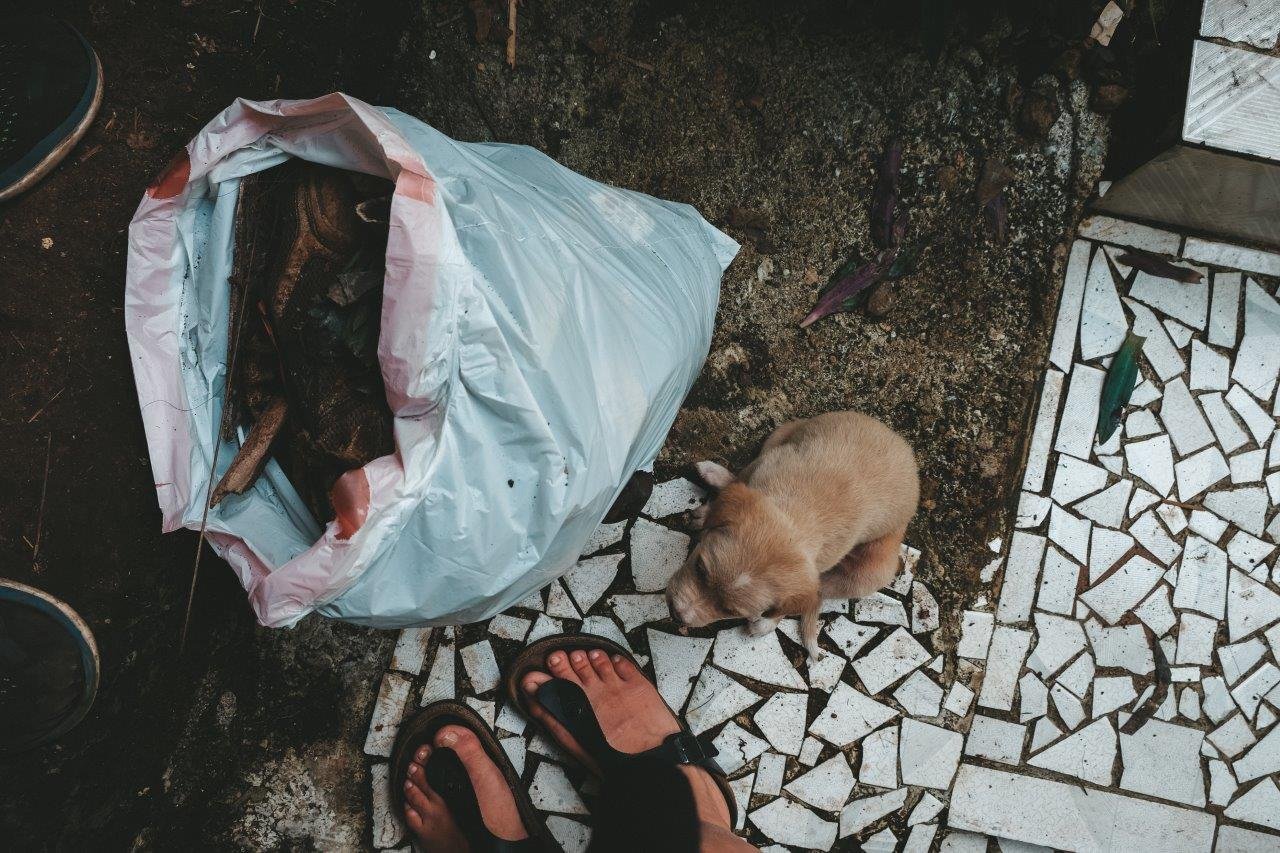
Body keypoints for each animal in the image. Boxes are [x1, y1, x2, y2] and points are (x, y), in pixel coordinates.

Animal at [665, 409, 916, 655]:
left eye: (730, 611)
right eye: (699, 569)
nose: (677, 614)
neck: (798, 515)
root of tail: (899, 441)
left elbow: (794, 599)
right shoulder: (765, 463)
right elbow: (740, 482)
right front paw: (707, 512)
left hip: (865, 575)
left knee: (813, 597)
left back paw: (767, 623)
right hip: (783, 432)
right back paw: (713, 473)